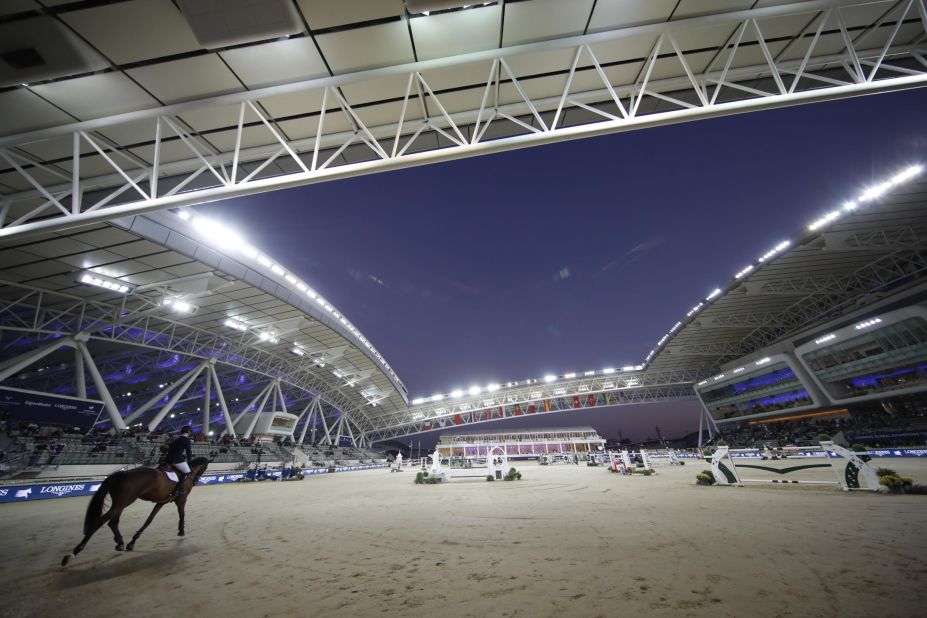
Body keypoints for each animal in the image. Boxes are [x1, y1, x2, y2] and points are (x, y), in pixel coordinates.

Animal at [62, 452, 211, 564]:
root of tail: (122, 474)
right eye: (204, 468)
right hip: (124, 502)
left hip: (120, 503)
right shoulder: (181, 499)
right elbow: (182, 514)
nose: (196, 480)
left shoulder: (161, 502)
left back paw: (120, 543)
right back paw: (72, 554)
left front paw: (132, 542)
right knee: (101, 521)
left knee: (113, 522)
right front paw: (181, 531)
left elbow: (149, 520)